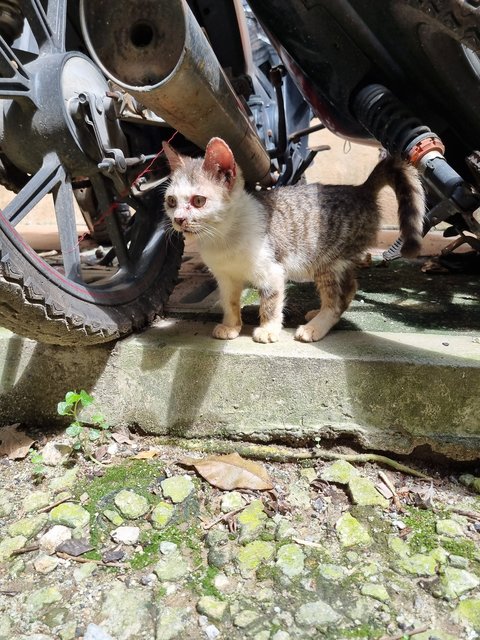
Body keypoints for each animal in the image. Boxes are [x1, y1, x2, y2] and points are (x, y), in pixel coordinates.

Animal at [162, 138, 424, 342]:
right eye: (171, 201)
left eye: (198, 201)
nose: (179, 219)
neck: (222, 238)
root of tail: (361, 190)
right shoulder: (225, 278)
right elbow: (229, 301)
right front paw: (231, 325)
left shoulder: (272, 271)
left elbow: (270, 301)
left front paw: (268, 329)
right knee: (350, 288)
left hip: (329, 260)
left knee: (338, 298)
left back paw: (316, 326)